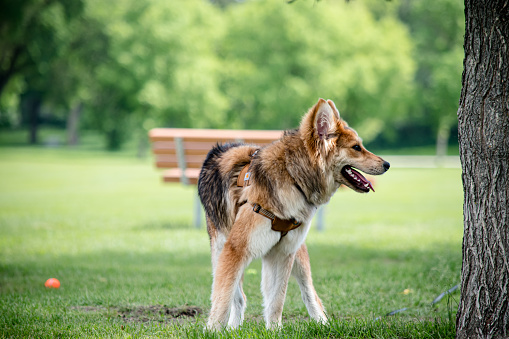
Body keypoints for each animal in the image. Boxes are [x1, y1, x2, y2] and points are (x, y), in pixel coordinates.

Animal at [197, 97, 388, 330]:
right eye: (356, 148)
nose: (387, 164)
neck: (292, 175)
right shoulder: (235, 249)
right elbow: (224, 297)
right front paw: (213, 330)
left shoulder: (283, 252)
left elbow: (276, 300)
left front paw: (274, 331)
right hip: (219, 248)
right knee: (238, 296)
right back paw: (233, 327)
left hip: (296, 256)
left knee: (309, 294)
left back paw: (323, 324)